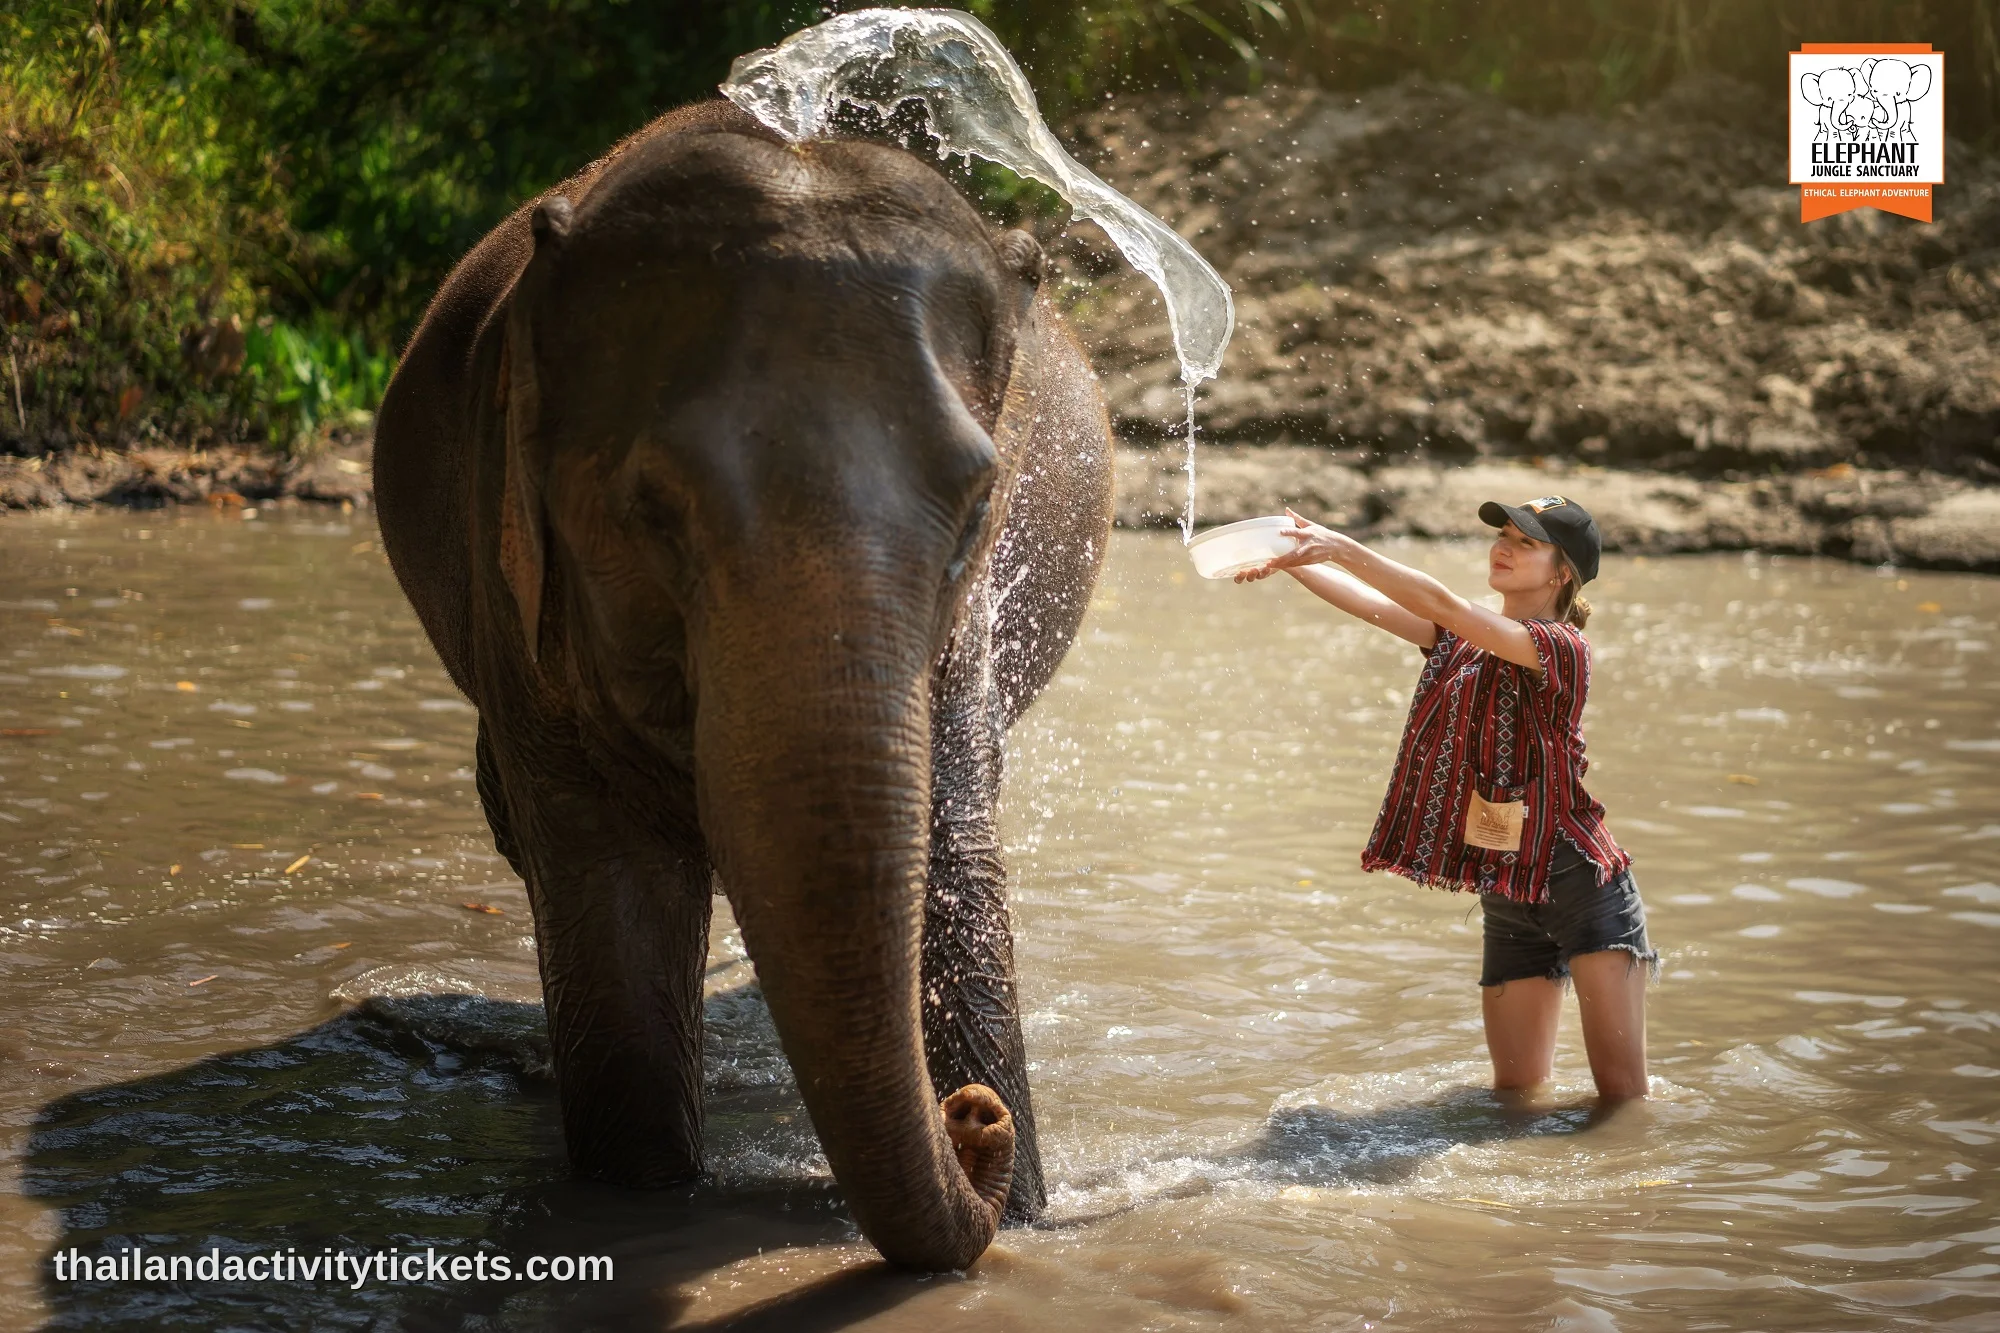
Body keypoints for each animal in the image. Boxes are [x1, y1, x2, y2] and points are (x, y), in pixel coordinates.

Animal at [370, 99, 1115, 1271]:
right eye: (651, 511)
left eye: (977, 499)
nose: (970, 1113)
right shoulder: (517, 591)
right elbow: (605, 882)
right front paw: (639, 1203)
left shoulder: (971, 618)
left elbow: (951, 849)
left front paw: (1028, 1205)